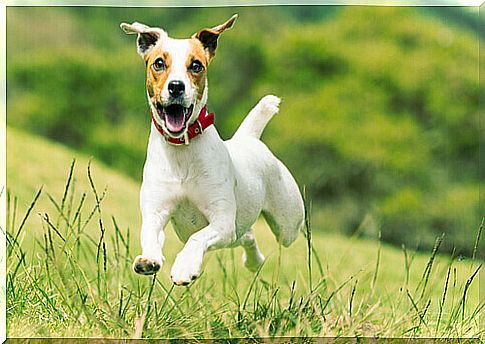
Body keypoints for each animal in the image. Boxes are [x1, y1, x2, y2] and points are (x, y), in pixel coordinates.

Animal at [120, 14, 302, 286]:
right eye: (159, 63)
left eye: (196, 65)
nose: (176, 86)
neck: (182, 151)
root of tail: (248, 138)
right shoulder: (156, 211)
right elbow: (150, 234)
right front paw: (148, 259)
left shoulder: (222, 221)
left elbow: (198, 237)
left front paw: (185, 266)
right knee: (247, 235)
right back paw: (253, 261)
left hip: (288, 225)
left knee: (274, 234)